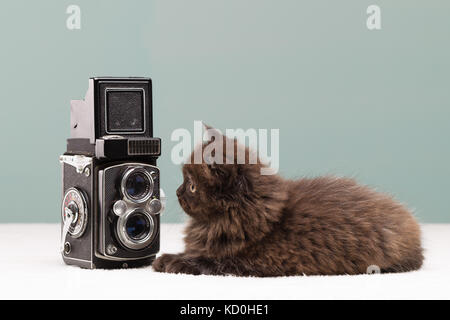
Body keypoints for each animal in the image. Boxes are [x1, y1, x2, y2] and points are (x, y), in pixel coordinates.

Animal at [153, 129, 424, 276]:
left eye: (192, 185)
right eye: (185, 182)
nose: (177, 191)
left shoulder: (252, 260)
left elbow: (209, 260)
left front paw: (172, 260)